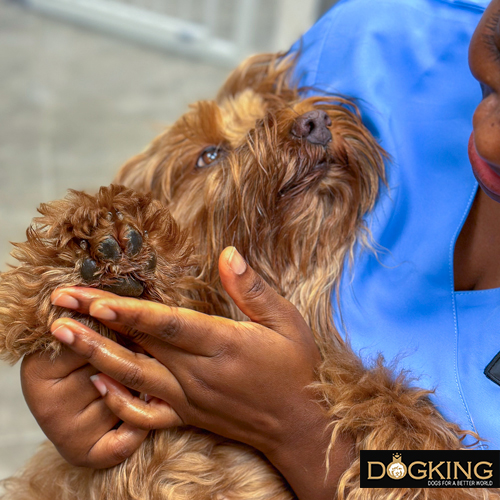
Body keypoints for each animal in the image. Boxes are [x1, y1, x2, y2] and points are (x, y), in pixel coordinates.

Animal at [0, 52, 492, 498]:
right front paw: (87, 256)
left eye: (276, 102)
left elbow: (358, 383)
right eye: (208, 155)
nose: (313, 121)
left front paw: (411, 438)